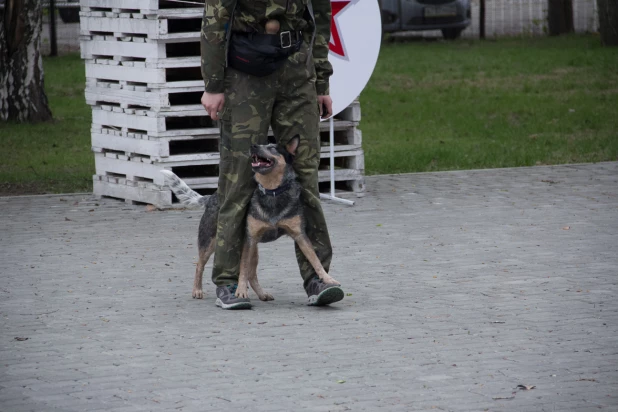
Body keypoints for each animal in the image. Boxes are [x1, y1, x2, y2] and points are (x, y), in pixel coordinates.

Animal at [160, 137, 336, 300]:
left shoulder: (299, 235)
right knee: (200, 265)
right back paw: (197, 290)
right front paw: (240, 292)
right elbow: (243, 269)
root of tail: (212, 196)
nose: (254, 146)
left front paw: (328, 280)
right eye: (262, 144)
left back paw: (263, 294)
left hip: (253, 250)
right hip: (211, 242)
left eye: (273, 147)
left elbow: (315, 260)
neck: (272, 192)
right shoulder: (250, 240)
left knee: (252, 274)